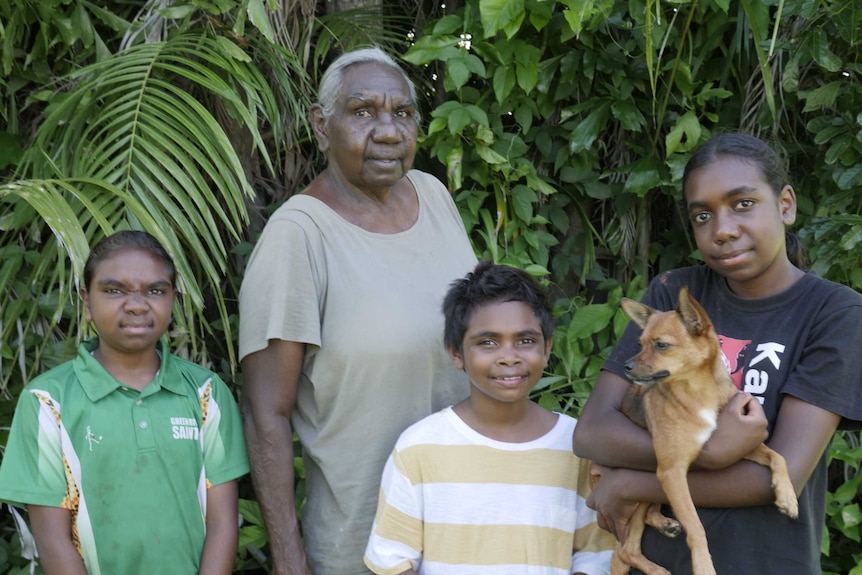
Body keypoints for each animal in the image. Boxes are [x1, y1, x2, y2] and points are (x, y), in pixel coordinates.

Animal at [604, 286, 800, 575]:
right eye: (640, 343)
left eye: (661, 345)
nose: (626, 367)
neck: (696, 392)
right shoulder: (672, 471)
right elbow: (696, 526)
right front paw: (704, 566)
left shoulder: (739, 445)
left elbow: (778, 456)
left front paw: (787, 497)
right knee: (625, 551)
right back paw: (657, 567)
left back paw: (665, 524)